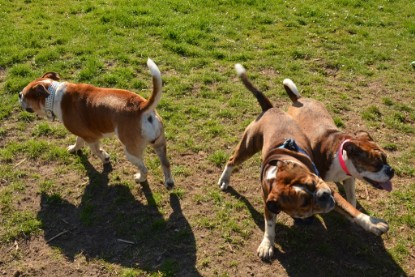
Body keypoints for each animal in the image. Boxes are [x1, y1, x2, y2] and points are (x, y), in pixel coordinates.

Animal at [18, 58, 175, 188]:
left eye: (24, 94)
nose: (18, 94)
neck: (53, 93)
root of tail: (142, 107)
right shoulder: (83, 133)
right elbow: (78, 141)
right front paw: (74, 149)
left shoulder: (91, 137)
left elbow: (95, 150)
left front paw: (105, 157)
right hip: (160, 144)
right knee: (165, 163)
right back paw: (169, 182)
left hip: (131, 152)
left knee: (144, 168)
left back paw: (140, 178)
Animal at [219, 64, 336, 258]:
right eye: (304, 203)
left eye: (313, 182)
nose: (324, 195)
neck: (276, 175)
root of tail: (269, 108)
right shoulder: (269, 205)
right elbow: (270, 227)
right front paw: (267, 245)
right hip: (248, 145)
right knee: (231, 160)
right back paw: (224, 180)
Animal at [284, 78, 394, 206]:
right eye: (375, 165)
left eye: (386, 158)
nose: (391, 171)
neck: (341, 161)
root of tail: (298, 99)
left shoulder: (349, 180)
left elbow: (351, 200)